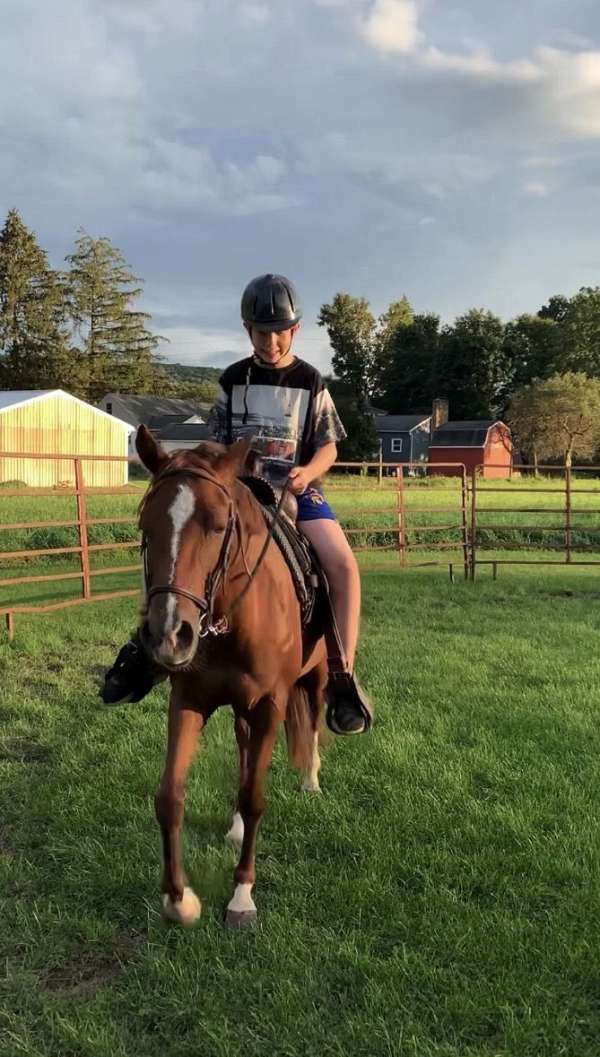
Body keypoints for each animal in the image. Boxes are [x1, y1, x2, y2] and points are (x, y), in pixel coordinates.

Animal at [135, 424, 328, 928]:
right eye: (145, 527)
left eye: (220, 526)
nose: (169, 634)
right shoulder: (189, 700)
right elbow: (169, 796)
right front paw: (179, 899)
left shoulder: (271, 704)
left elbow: (255, 796)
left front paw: (242, 896)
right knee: (243, 750)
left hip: (317, 676)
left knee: (315, 718)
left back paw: (311, 779)